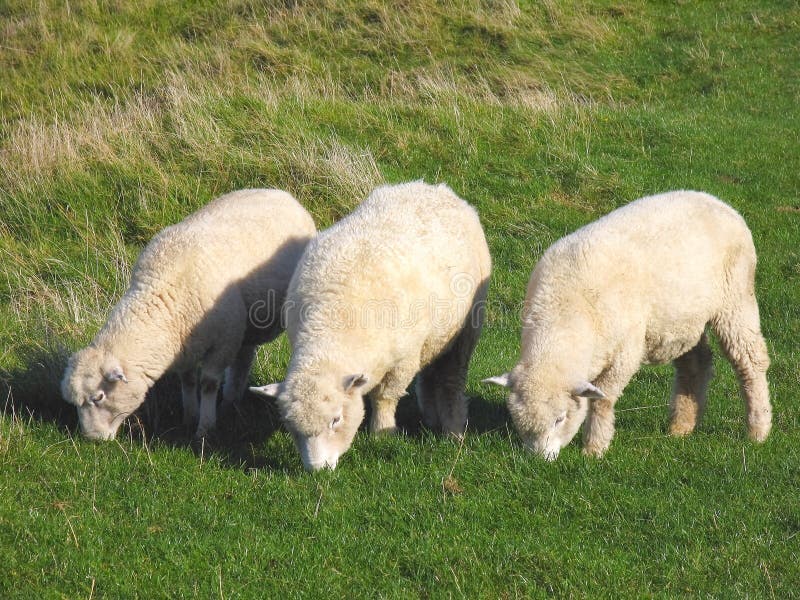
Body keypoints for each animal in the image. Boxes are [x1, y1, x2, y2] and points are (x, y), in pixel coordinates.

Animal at [61, 190, 316, 438]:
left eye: (98, 397)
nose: (91, 438)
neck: (164, 290)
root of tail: (284, 195)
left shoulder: (223, 341)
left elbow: (208, 383)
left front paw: (205, 428)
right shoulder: (185, 347)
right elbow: (189, 381)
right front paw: (189, 417)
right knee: (244, 356)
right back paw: (230, 401)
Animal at [250, 180, 490, 472]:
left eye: (336, 420)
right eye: (291, 428)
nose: (317, 470)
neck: (333, 326)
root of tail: (436, 188)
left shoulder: (403, 360)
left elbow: (385, 397)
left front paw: (382, 432)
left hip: (466, 328)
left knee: (451, 378)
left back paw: (453, 429)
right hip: (434, 336)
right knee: (430, 373)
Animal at [484, 191, 772, 460]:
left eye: (560, 419)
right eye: (519, 422)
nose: (540, 460)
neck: (566, 309)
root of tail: (718, 202)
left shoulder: (624, 354)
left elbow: (603, 402)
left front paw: (594, 448)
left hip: (735, 298)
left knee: (750, 362)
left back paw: (758, 430)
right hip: (683, 320)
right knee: (696, 364)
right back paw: (681, 427)